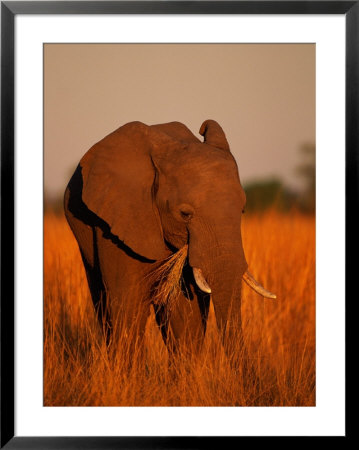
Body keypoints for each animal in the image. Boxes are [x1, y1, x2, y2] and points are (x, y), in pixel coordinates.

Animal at [64, 120, 276, 370]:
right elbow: (129, 303)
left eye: (243, 210)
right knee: (102, 300)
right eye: (185, 214)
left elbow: (185, 312)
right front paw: (128, 376)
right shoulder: (116, 222)